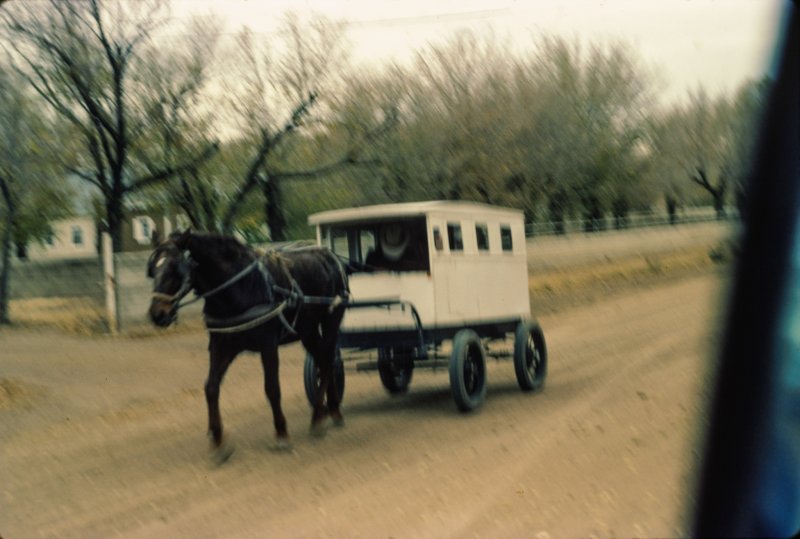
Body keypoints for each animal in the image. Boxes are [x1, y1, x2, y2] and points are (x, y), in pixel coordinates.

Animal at [148, 230, 348, 462]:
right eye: (152, 270)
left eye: (174, 269)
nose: (157, 315)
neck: (238, 287)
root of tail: (329, 254)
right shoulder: (221, 346)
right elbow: (211, 387)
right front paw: (218, 441)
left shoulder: (268, 345)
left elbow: (272, 389)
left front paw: (281, 434)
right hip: (307, 329)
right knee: (323, 360)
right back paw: (331, 410)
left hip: (331, 319)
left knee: (327, 361)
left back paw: (318, 417)